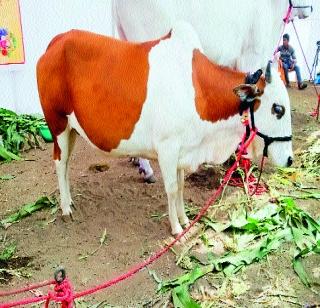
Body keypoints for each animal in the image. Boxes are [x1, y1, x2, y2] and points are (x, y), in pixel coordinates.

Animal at [36, 22, 294, 236]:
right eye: (278, 109)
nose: (290, 159)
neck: (198, 91)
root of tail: (58, 40)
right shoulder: (167, 148)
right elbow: (171, 188)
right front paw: (176, 228)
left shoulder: (182, 151)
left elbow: (180, 187)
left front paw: (185, 218)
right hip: (57, 123)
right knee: (59, 162)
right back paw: (66, 207)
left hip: (71, 128)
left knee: (66, 164)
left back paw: (69, 201)